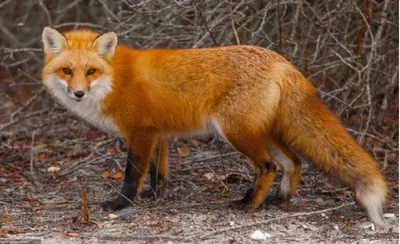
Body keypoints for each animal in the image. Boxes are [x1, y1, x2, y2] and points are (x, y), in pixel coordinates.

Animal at [40, 26, 388, 227]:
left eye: (91, 71)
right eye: (67, 71)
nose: (78, 93)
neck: (114, 80)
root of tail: (281, 60)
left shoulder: (140, 132)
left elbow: (132, 174)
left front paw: (120, 204)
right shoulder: (158, 134)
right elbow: (157, 172)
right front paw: (154, 196)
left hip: (236, 132)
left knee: (269, 166)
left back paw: (249, 205)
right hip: (264, 132)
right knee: (294, 162)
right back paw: (279, 200)